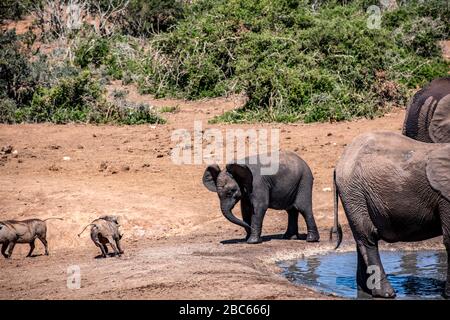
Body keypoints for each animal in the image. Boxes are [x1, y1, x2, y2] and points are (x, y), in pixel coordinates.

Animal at [330, 131, 450, 298]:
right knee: (368, 238)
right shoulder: (444, 197)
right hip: (354, 192)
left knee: (360, 239)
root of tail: (339, 162)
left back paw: (365, 291)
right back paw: (387, 293)